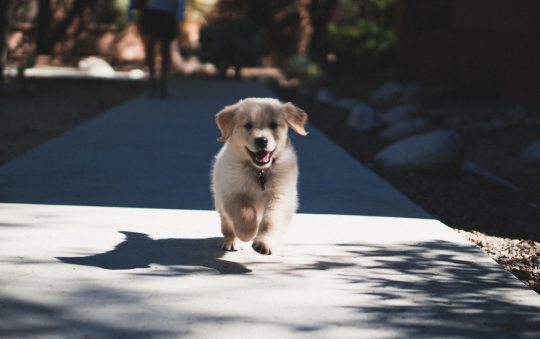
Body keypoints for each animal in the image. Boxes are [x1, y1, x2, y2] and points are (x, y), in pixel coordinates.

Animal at [213, 98, 310, 255]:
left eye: (273, 125)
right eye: (248, 125)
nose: (262, 140)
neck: (259, 171)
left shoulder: (280, 195)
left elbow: (271, 220)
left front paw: (264, 242)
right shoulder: (232, 193)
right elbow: (245, 213)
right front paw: (247, 233)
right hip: (220, 201)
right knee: (227, 225)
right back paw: (232, 241)